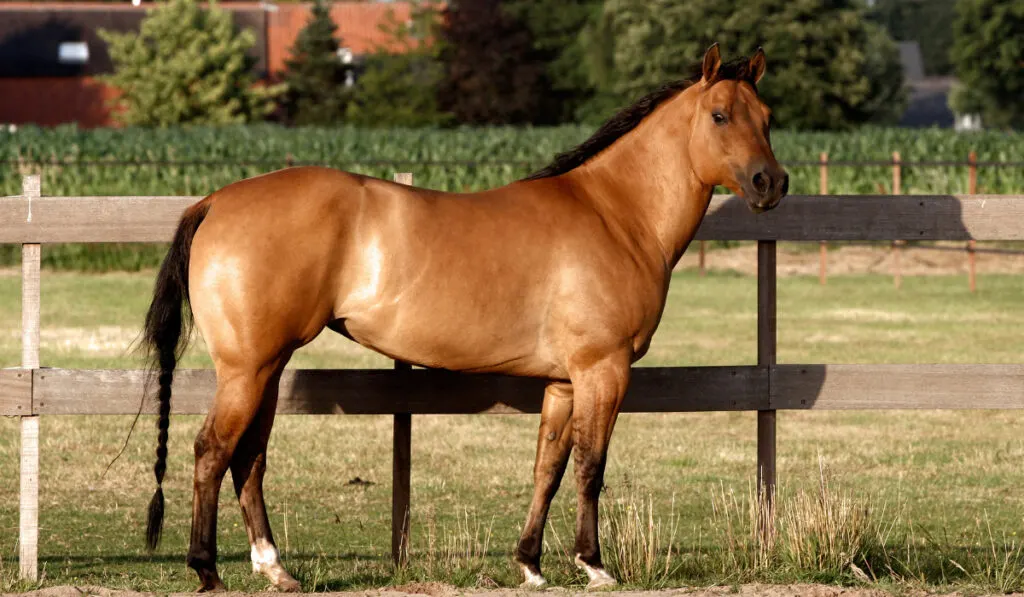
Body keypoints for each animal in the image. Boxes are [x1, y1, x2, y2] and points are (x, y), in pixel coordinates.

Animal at [140, 44, 786, 589]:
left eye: (767, 116)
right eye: (720, 116)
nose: (770, 183)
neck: (614, 213)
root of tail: (216, 201)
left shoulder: (563, 382)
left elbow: (548, 467)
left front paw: (531, 564)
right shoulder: (602, 371)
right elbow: (590, 467)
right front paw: (594, 565)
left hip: (268, 369)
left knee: (249, 458)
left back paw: (276, 569)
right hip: (247, 369)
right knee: (212, 451)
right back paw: (207, 569)